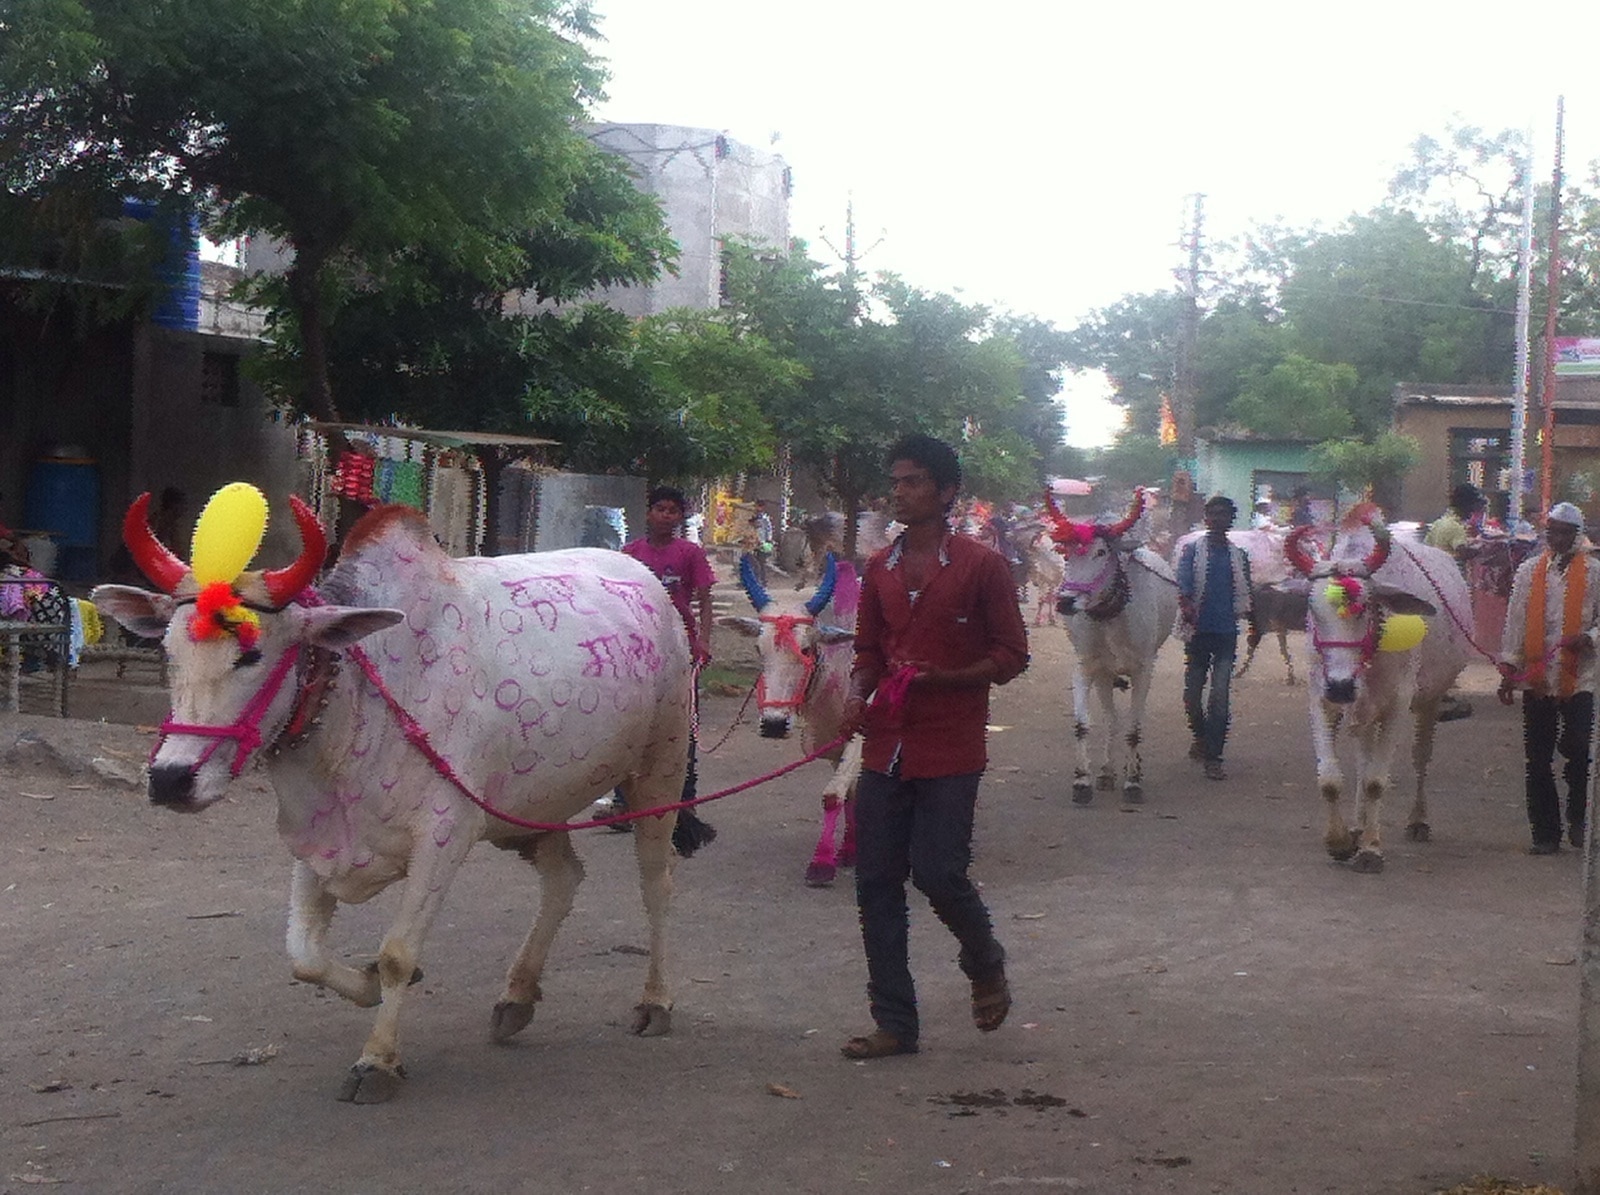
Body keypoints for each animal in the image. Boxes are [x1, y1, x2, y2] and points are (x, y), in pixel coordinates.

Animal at [723, 550, 870, 889]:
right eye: (758, 648)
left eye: (805, 647)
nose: (774, 724)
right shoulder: (830, 742)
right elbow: (850, 793)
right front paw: (849, 849)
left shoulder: (862, 736)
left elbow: (833, 795)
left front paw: (821, 863)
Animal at [1043, 486, 1184, 803]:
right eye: (1067, 554)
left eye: (1101, 552)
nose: (1065, 602)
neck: (1112, 614)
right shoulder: (1087, 667)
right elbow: (1084, 725)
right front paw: (1082, 781)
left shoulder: (1144, 669)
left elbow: (1134, 728)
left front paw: (1132, 782)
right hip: (1104, 675)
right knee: (1111, 719)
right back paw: (1107, 771)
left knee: (1129, 722)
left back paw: (1133, 769)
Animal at [1286, 518, 1472, 876]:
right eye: (1312, 609)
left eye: (1366, 607)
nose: (1341, 686)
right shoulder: (1320, 700)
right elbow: (1330, 779)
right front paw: (1340, 842)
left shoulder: (1397, 705)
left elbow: (1375, 781)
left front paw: (1371, 850)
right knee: (1362, 758)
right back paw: (1358, 826)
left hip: (1430, 700)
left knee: (1420, 757)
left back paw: (1417, 821)